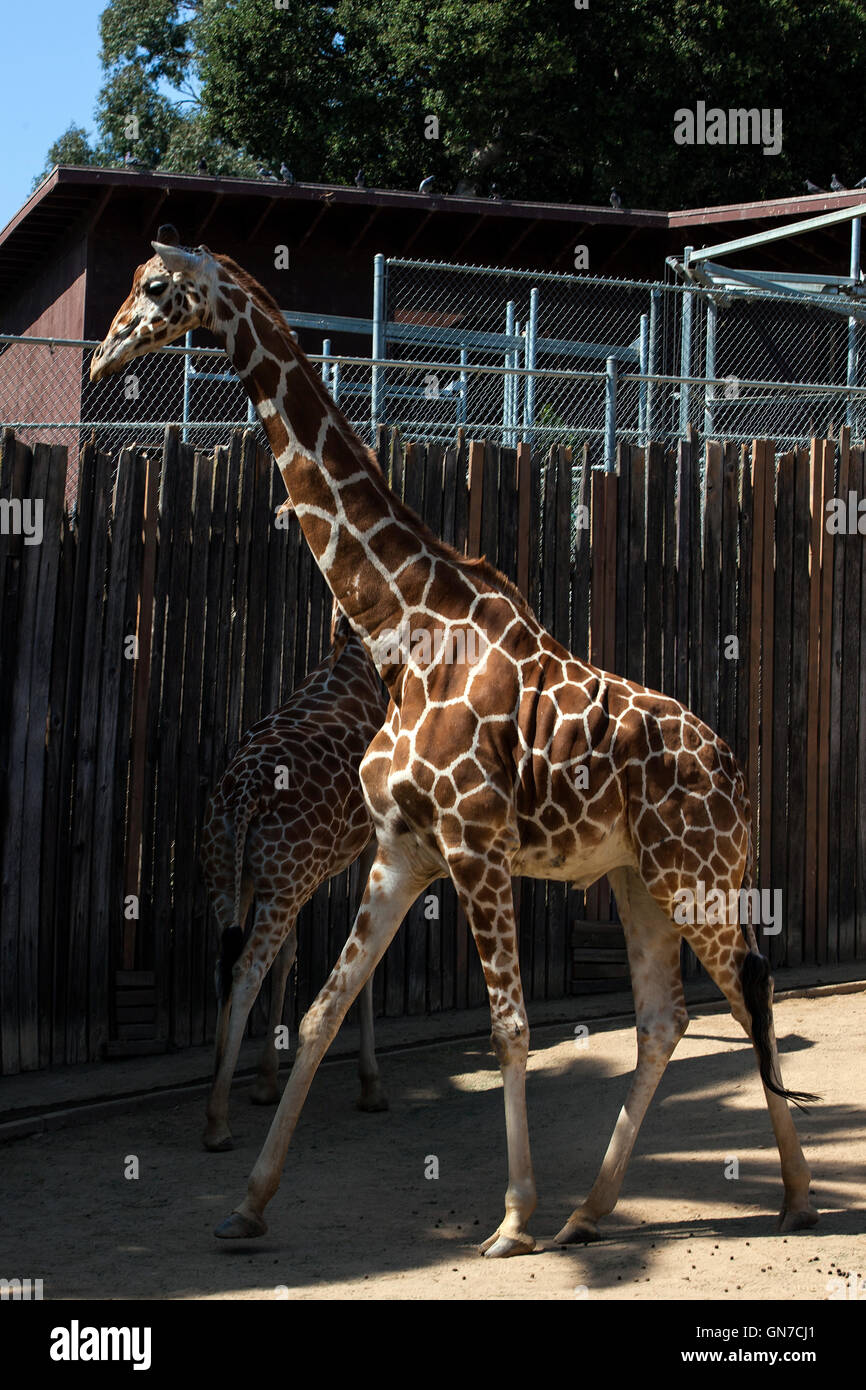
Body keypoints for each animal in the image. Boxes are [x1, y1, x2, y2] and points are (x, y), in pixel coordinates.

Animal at [200, 597, 389, 1150]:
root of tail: (243, 798)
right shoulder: (370, 843)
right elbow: (361, 964)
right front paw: (371, 1086)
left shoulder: (292, 878)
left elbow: (291, 958)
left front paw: (265, 1080)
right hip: (280, 885)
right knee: (245, 970)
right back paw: (216, 1121)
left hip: (233, 878)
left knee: (224, 964)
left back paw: (217, 1089)